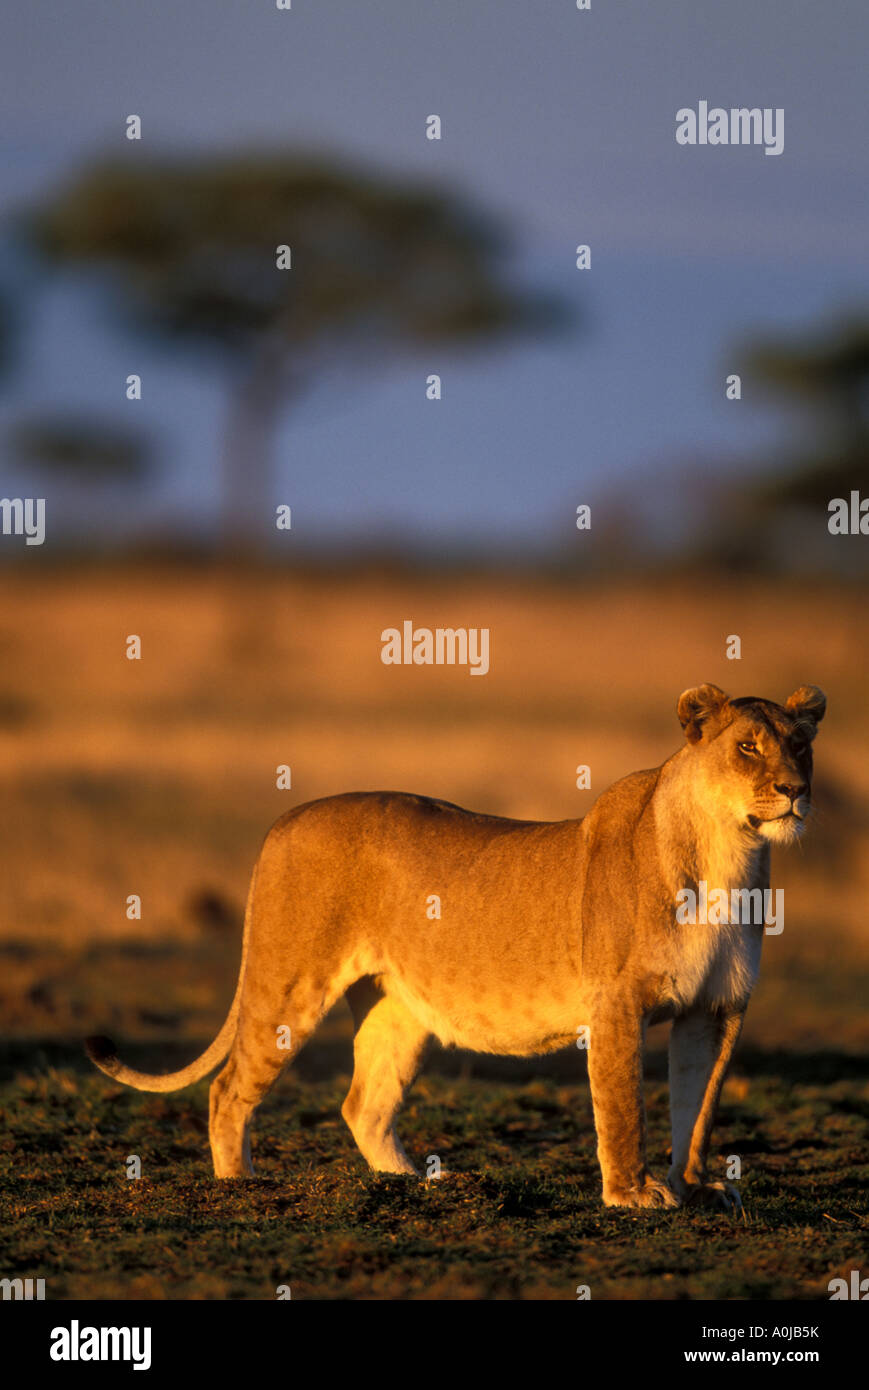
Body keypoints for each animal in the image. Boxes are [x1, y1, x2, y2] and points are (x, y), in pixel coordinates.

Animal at [86, 682, 825, 1210]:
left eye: (800, 747)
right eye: (748, 748)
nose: (795, 791)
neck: (730, 855)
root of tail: (284, 819)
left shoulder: (717, 1010)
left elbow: (698, 1106)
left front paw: (697, 1186)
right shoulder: (617, 1005)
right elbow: (622, 1108)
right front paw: (631, 1195)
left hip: (398, 1009)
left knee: (363, 1105)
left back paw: (415, 1183)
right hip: (289, 984)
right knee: (228, 1089)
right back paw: (239, 1183)